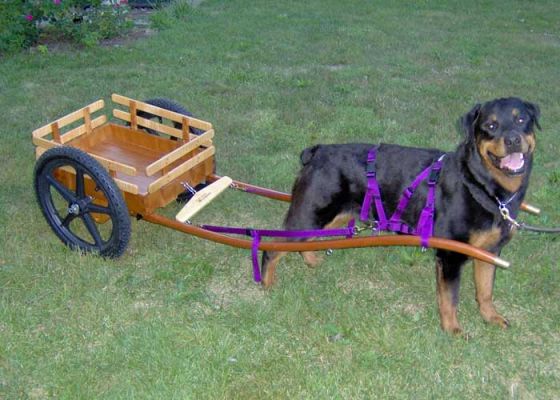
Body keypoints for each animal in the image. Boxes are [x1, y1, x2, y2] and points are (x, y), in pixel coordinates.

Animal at [260, 97, 540, 334]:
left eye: (521, 120)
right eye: (491, 125)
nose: (513, 139)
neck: (481, 185)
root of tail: (317, 152)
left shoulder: (489, 251)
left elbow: (485, 291)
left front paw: (491, 317)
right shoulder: (449, 256)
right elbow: (449, 298)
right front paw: (452, 330)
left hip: (331, 215)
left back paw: (311, 261)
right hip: (309, 213)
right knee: (271, 248)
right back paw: (266, 284)